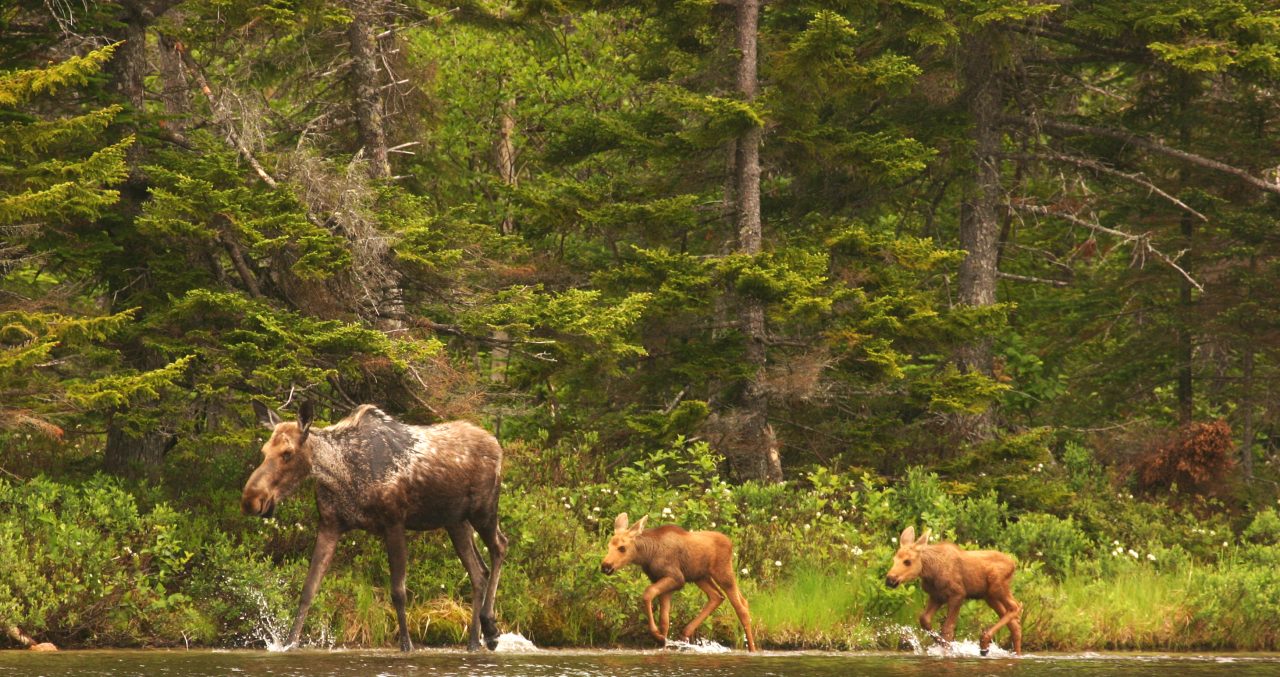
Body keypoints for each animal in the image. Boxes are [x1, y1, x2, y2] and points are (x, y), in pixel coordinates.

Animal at [240, 401, 504, 650]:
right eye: (264, 451)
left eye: (287, 453)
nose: (251, 499)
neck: (342, 474)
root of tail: (497, 445)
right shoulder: (329, 525)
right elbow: (308, 589)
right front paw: (289, 643)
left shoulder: (394, 522)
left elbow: (398, 592)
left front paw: (407, 645)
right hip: (456, 522)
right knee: (479, 572)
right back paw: (475, 641)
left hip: (484, 511)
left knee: (500, 546)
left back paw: (490, 628)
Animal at [601, 511, 757, 650]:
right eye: (608, 546)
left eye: (622, 548)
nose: (605, 566)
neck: (647, 555)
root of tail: (731, 543)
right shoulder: (664, 582)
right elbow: (664, 620)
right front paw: (662, 641)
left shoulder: (677, 578)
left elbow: (647, 593)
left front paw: (657, 635)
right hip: (701, 577)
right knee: (719, 596)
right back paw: (686, 632)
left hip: (723, 572)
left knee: (741, 607)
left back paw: (752, 649)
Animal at [885, 522, 1024, 655]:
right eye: (894, 559)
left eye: (907, 561)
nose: (890, 580)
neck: (929, 572)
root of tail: (1014, 565)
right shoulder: (936, 596)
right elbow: (924, 620)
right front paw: (944, 645)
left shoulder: (958, 594)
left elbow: (947, 629)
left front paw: (949, 649)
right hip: (989, 596)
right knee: (1014, 623)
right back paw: (1015, 653)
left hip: (997, 586)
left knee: (1016, 606)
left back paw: (984, 642)